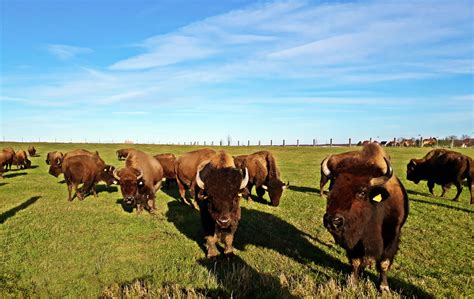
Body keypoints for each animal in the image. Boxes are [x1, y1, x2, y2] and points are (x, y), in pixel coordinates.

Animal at [322, 144, 408, 294]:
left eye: (362, 192)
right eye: (332, 187)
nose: (332, 220)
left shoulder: (391, 238)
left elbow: (384, 263)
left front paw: (384, 287)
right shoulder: (354, 242)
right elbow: (356, 261)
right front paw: (352, 283)